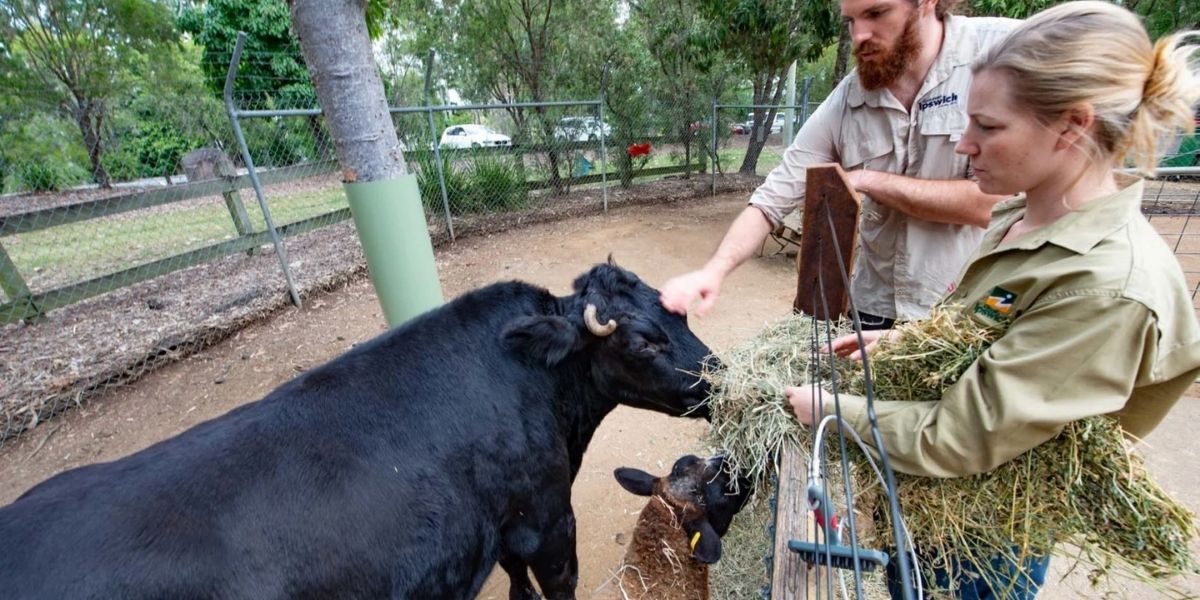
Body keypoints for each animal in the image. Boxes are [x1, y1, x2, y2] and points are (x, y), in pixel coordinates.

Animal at [0, 262, 710, 600]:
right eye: (643, 342)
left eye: (677, 309)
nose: (719, 378)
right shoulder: (547, 517)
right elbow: (553, 583)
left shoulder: (503, 522)